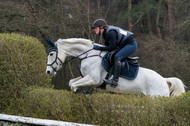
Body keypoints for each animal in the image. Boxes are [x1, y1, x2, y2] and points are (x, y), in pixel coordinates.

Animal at [45, 37, 186, 96]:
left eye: (51, 54)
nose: (48, 71)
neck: (88, 54)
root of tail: (164, 80)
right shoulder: (86, 77)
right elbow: (71, 82)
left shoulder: (94, 79)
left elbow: (74, 85)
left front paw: (83, 93)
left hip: (157, 97)